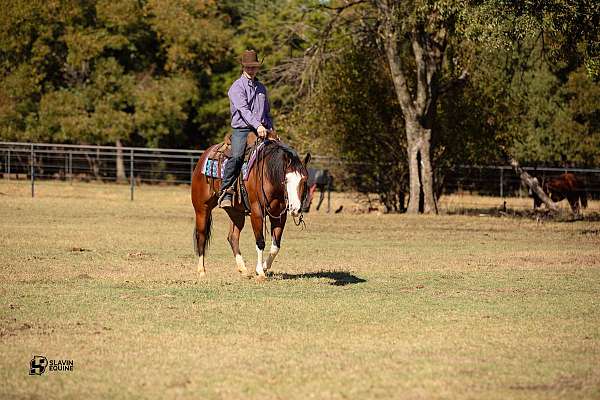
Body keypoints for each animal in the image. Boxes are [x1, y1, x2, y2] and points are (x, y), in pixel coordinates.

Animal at [192, 141, 312, 282]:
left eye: (304, 180)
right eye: (286, 180)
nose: (295, 208)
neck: (268, 175)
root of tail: (204, 155)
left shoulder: (279, 216)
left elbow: (275, 246)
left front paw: (264, 267)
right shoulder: (257, 213)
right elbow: (260, 242)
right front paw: (260, 272)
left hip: (236, 213)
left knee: (232, 237)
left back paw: (243, 270)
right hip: (202, 208)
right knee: (201, 236)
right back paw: (201, 271)